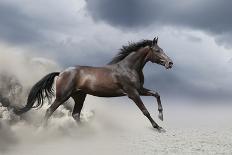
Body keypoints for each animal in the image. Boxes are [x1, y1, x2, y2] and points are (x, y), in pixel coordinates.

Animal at [14, 37, 172, 131]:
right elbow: (145, 111)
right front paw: (158, 127)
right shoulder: (132, 93)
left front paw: (161, 116)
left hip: (79, 96)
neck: (129, 68)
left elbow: (157, 94)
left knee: (75, 114)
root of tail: (61, 72)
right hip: (63, 96)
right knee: (49, 110)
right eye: (157, 50)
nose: (170, 63)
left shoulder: (139, 89)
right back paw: (41, 130)